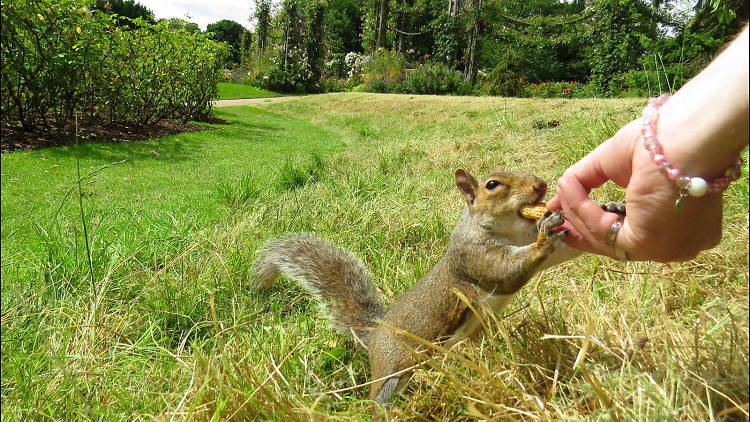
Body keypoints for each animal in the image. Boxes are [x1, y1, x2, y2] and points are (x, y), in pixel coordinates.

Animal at [253, 167, 588, 412]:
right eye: (492, 185)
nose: (541, 185)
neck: (510, 231)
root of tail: (373, 335)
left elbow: (558, 252)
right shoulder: (471, 257)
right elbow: (506, 271)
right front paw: (546, 233)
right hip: (393, 374)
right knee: (382, 401)